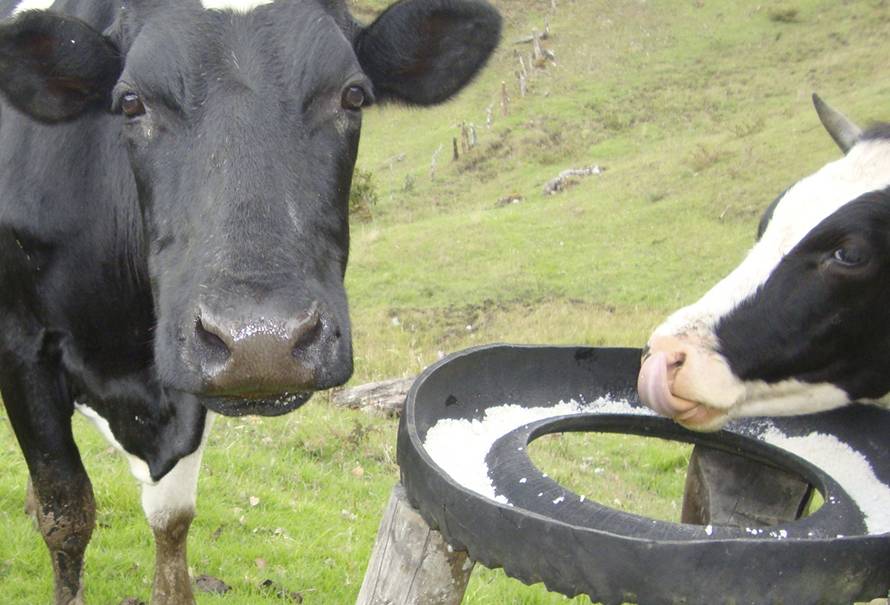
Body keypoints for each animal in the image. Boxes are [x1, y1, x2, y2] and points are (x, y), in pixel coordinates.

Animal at [0, 0, 500, 600]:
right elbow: (67, 512)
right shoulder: (20, 346)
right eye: (131, 101)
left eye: (354, 95)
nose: (262, 342)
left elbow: (171, 520)